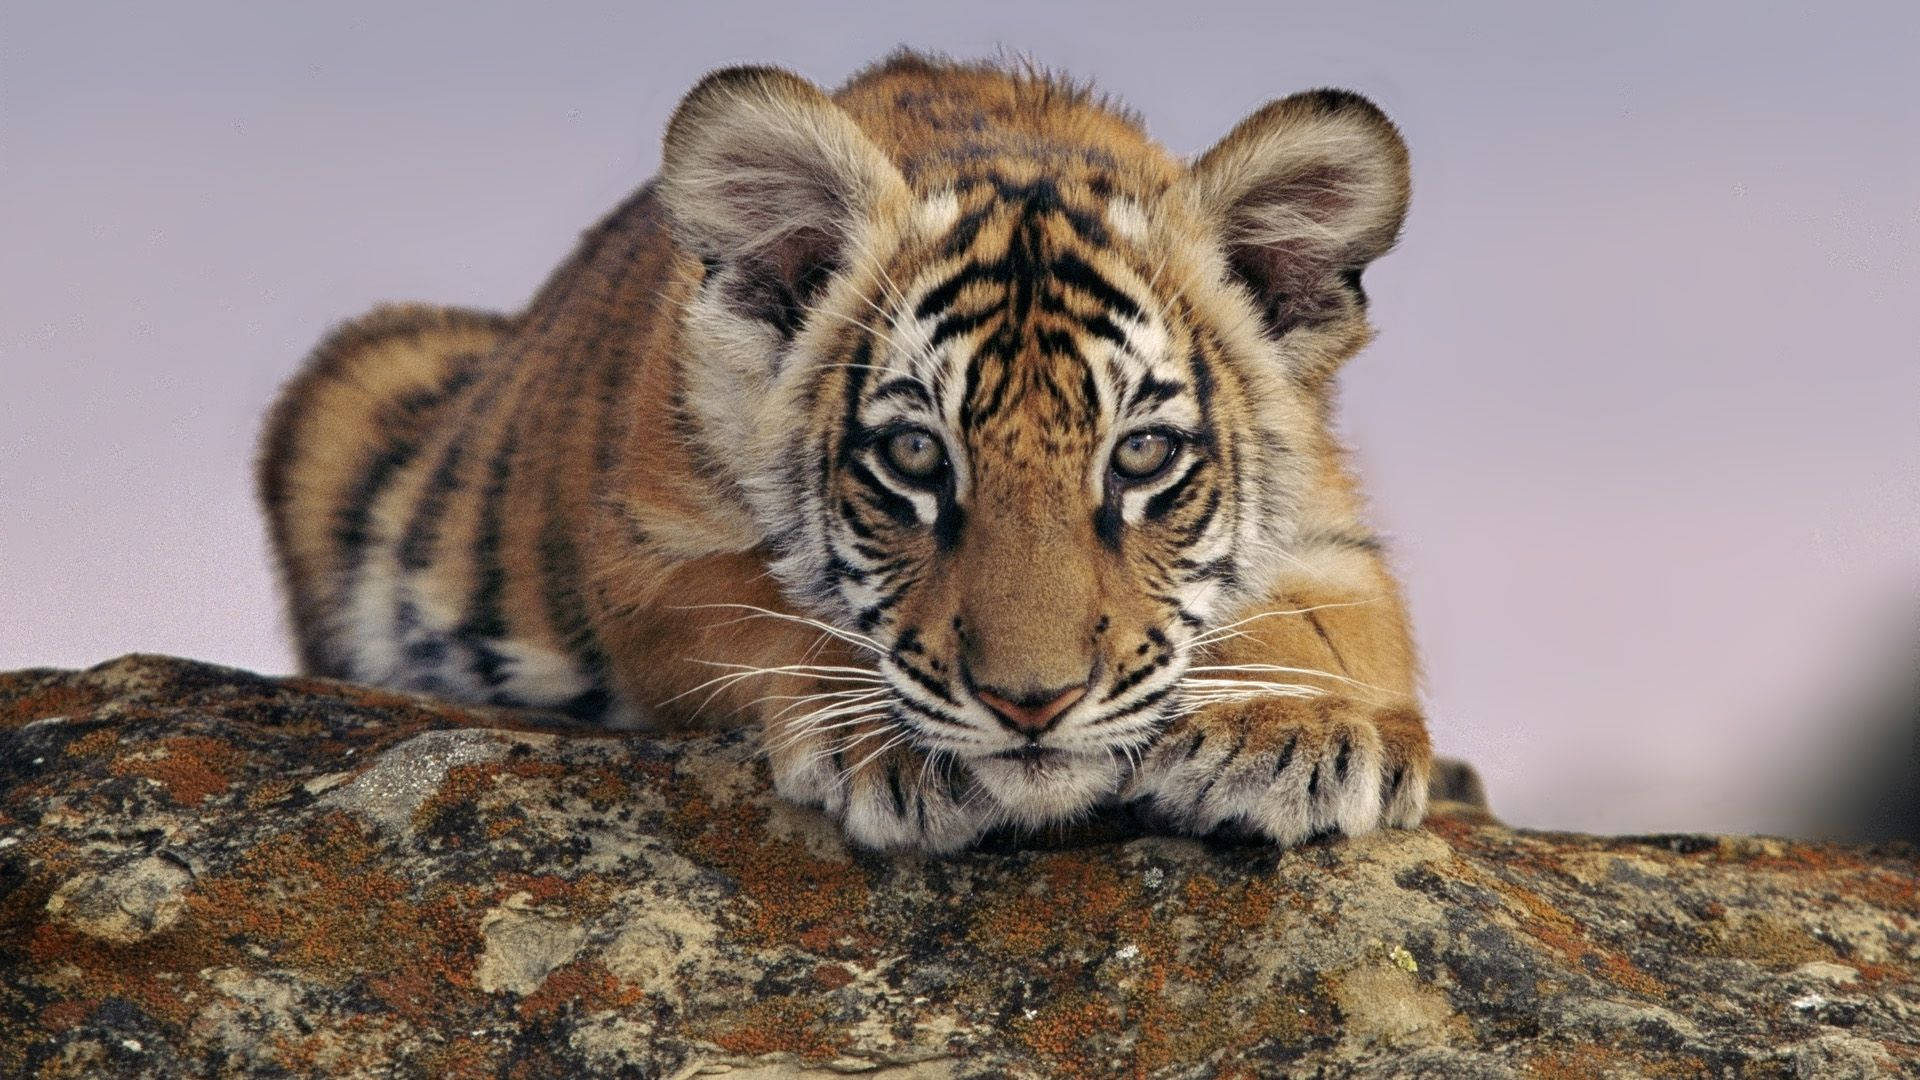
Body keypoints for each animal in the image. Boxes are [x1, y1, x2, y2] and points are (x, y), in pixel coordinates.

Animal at [258, 52, 1434, 852]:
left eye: (1140, 457)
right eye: (915, 456)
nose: (1032, 707)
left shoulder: (1335, 535)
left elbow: (1328, 625)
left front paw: (1290, 728)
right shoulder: (648, 553)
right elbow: (767, 606)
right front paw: (893, 743)